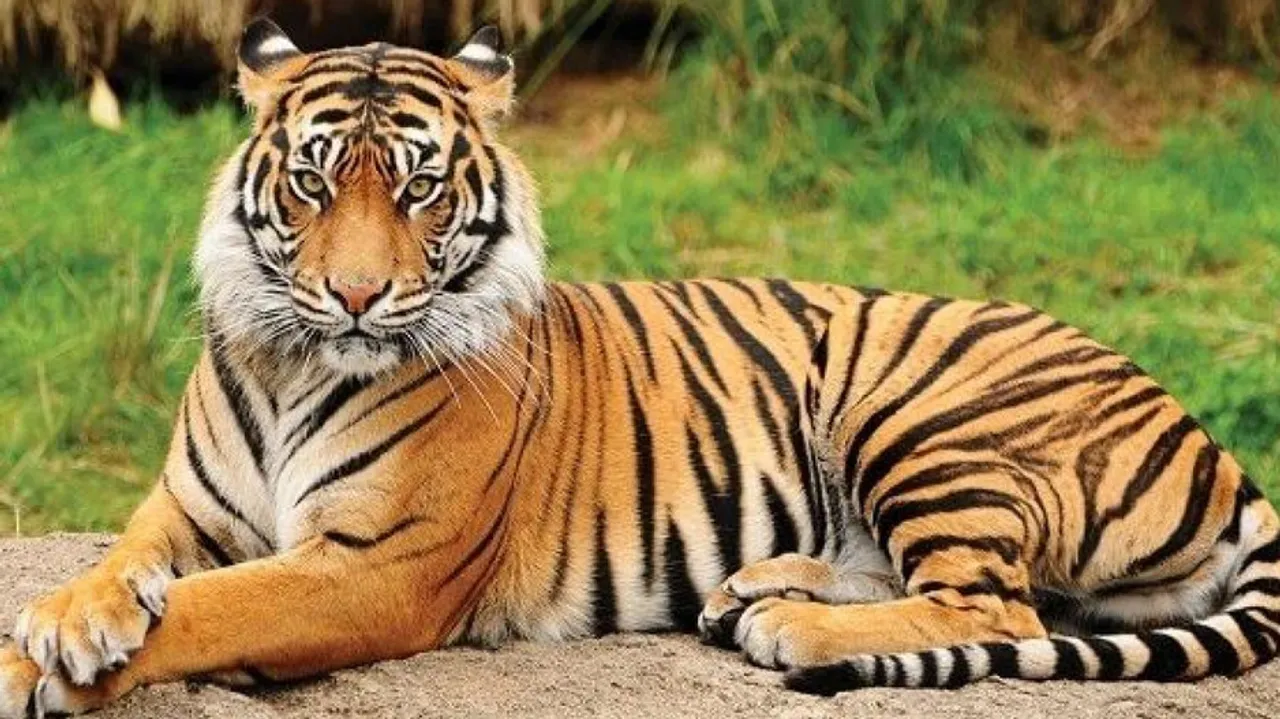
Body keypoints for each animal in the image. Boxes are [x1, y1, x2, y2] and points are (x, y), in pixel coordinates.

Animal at [2, 18, 1278, 716]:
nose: (356, 295)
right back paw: (756, 587)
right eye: (314, 181)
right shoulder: (184, 509)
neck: (287, 360)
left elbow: (209, 608)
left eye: (418, 188)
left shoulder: (374, 565)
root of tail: (1210, 442)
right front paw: (65, 617)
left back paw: (789, 628)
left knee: (993, 600)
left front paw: (44, 663)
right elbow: (124, 568)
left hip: (915, 406)